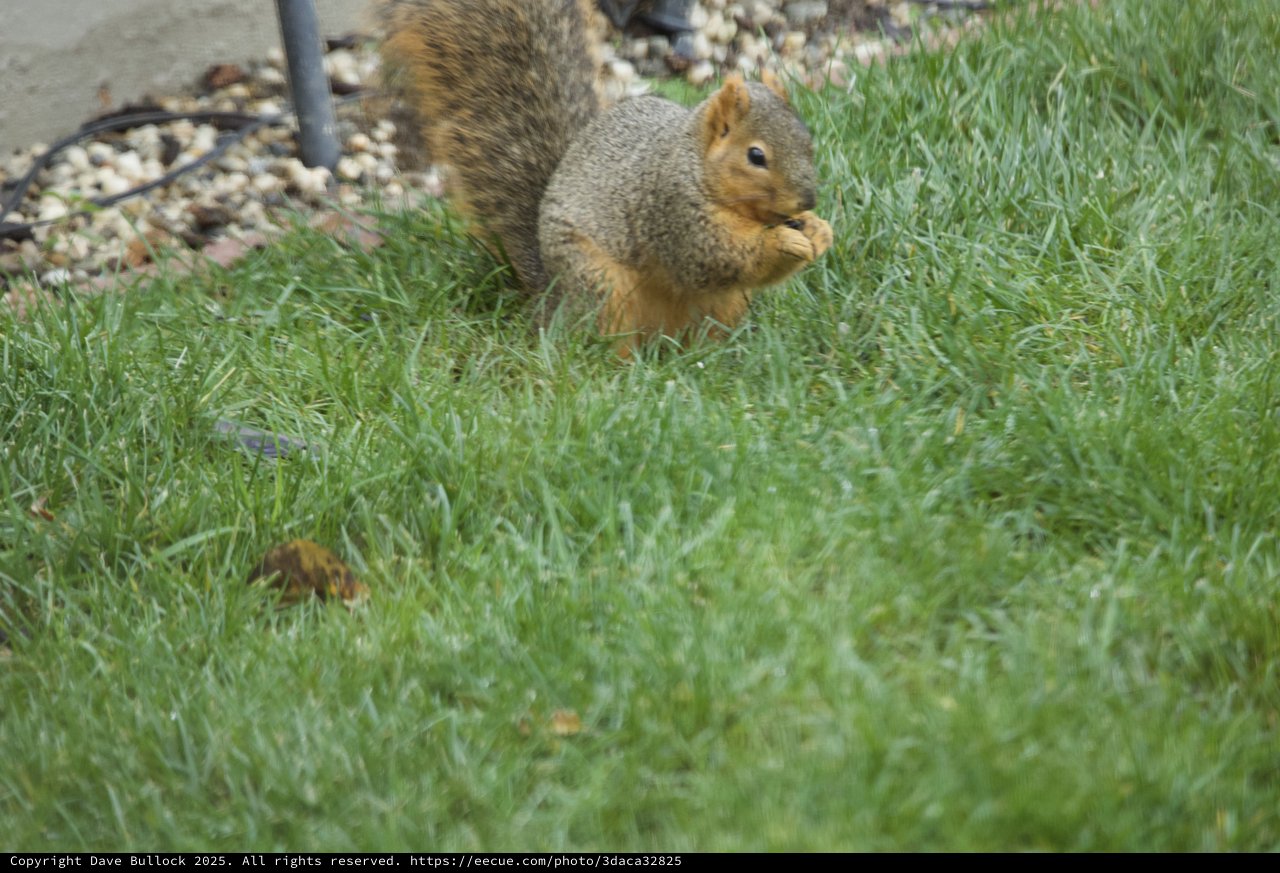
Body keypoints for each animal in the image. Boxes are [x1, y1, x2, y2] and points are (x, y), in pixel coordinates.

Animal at [377, 0, 833, 354]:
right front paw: (784, 240)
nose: (807, 201)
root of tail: (551, 299)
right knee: (604, 340)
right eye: (756, 156)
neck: (696, 166)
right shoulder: (671, 210)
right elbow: (714, 258)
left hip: (724, 306)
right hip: (600, 285)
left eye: (807, 139)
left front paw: (818, 230)